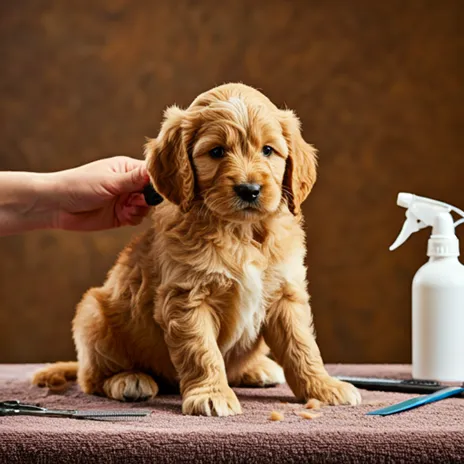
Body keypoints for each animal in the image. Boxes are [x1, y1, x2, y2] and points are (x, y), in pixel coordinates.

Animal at [34, 84, 360, 416]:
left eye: (268, 150)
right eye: (216, 152)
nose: (250, 190)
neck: (240, 232)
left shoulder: (286, 294)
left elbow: (302, 345)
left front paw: (322, 386)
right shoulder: (187, 298)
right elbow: (202, 350)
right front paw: (212, 394)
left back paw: (256, 369)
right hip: (92, 313)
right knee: (92, 378)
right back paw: (128, 379)